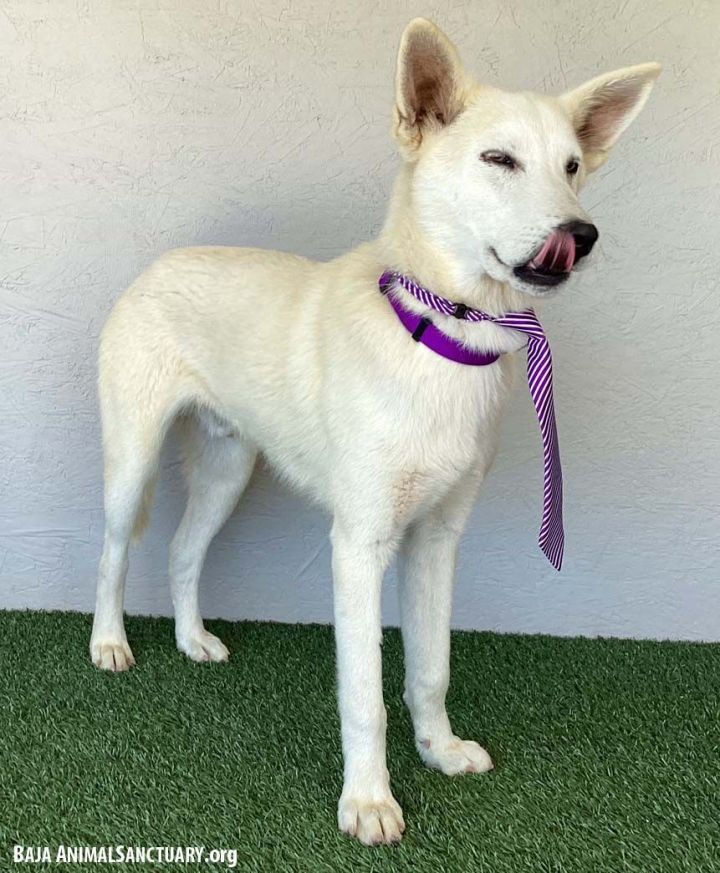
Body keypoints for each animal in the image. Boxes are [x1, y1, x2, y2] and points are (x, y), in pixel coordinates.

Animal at [90, 20, 660, 844]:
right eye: (499, 160)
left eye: (573, 167)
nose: (580, 234)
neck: (439, 336)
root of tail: (161, 260)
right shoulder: (359, 546)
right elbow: (365, 695)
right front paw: (367, 801)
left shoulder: (437, 539)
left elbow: (431, 667)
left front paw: (440, 750)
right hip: (131, 461)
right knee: (113, 552)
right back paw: (109, 643)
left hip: (229, 470)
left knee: (181, 550)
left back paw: (193, 640)